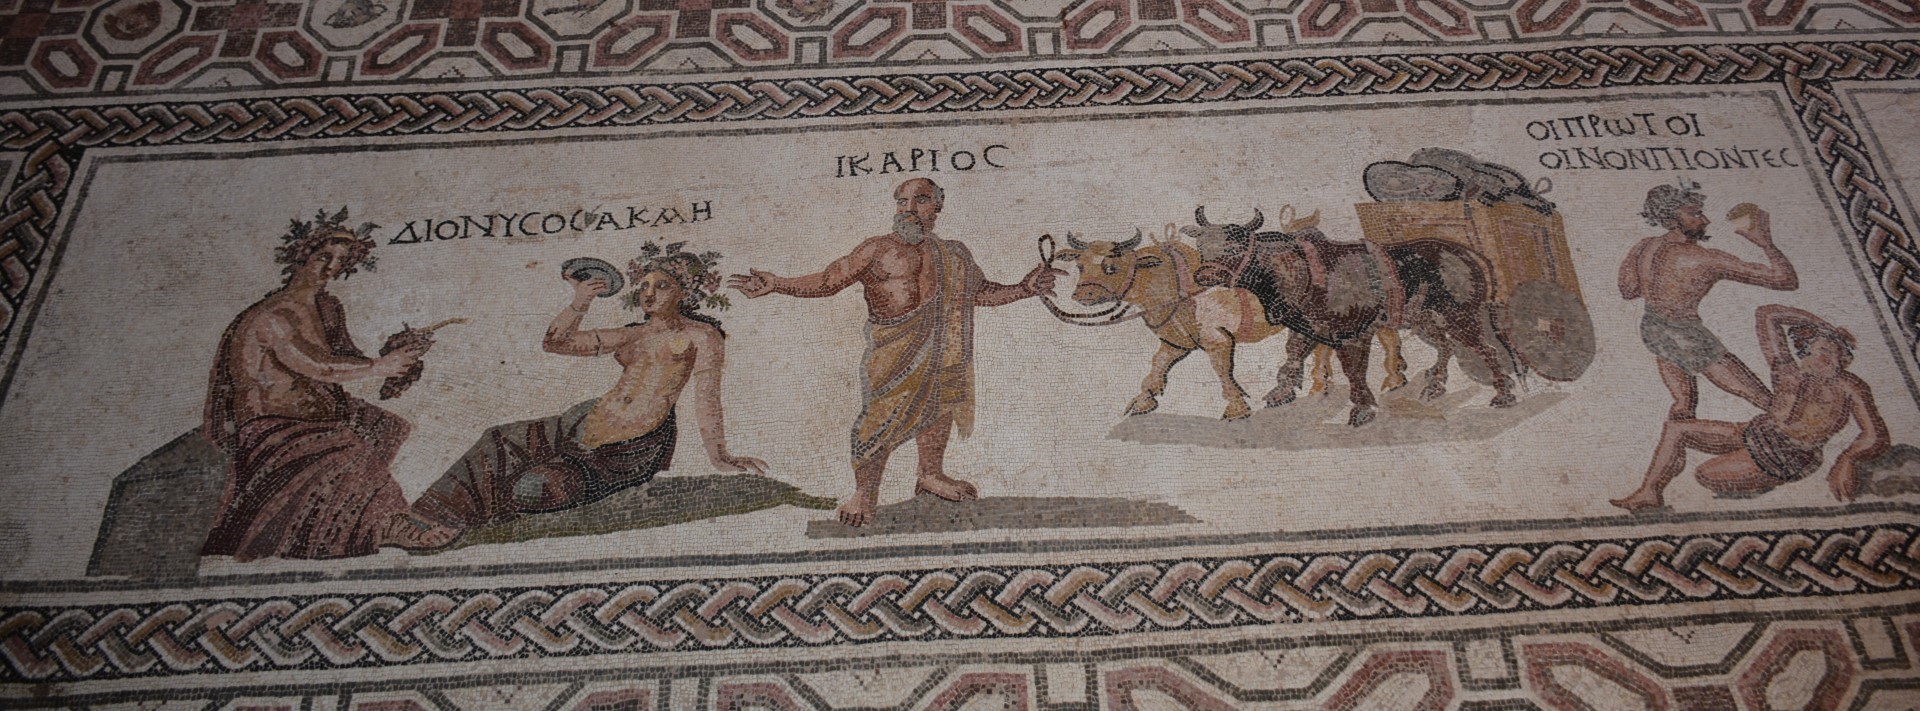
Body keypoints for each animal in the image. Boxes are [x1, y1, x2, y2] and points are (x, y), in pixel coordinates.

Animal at [1054, 229, 1406, 420]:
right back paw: (1321, 384)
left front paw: (1237, 407)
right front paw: (1143, 401)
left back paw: (1394, 376)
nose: (1083, 295)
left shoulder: (1217, 338)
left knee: (1387, 334)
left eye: (1111, 266)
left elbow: (1223, 371)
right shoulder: (1175, 342)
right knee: (1322, 346)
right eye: (1080, 265)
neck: (1175, 283)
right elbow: (1157, 367)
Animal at [1184, 207, 1518, 426]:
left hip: (1461, 318)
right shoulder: (1304, 328)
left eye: (1233, 247)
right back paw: (1434, 387)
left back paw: (1503, 395)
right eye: (1201, 245)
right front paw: (1280, 393)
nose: (1204, 275)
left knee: (1485, 349)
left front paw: (1362, 409)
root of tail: (1465, 253)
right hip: (1425, 322)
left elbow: (1354, 371)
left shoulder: (1353, 335)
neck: (1301, 271)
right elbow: (1293, 357)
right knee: (1445, 347)